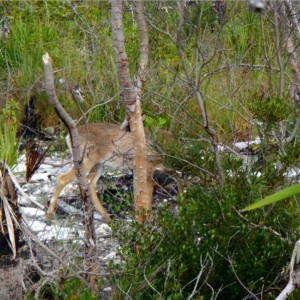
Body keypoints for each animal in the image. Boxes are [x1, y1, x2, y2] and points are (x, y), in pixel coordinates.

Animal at [44, 122, 178, 223]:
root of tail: (67, 137)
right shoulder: (149, 166)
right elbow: (148, 190)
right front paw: (148, 217)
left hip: (99, 165)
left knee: (90, 185)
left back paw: (107, 218)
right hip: (86, 162)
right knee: (63, 178)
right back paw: (48, 216)